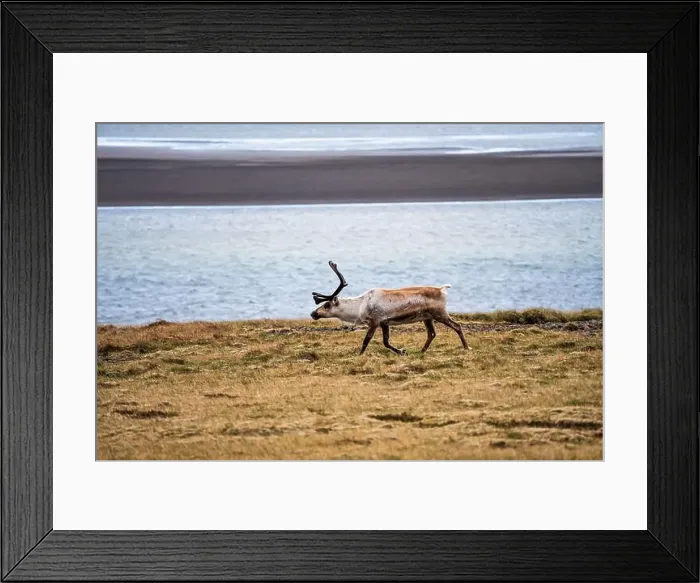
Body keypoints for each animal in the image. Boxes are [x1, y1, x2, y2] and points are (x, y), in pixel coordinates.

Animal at [310, 261, 470, 355]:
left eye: (327, 304)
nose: (313, 313)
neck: (360, 306)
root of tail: (441, 289)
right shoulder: (384, 323)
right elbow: (386, 342)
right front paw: (401, 351)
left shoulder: (375, 321)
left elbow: (366, 340)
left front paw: (360, 355)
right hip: (427, 317)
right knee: (431, 333)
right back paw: (421, 351)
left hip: (440, 313)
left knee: (457, 326)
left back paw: (466, 347)